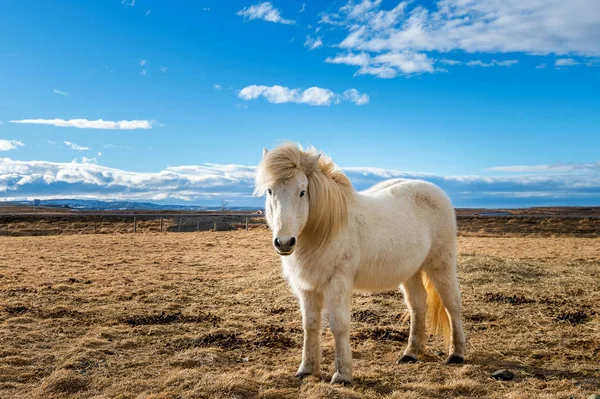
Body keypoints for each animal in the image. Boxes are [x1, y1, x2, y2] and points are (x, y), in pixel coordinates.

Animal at [255, 143, 466, 384]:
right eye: (270, 191)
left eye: (302, 191)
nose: (284, 242)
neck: (326, 228)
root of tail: (436, 192)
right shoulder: (306, 287)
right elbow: (310, 325)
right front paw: (306, 369)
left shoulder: (338, 282)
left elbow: (338, 325)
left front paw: (343, 374)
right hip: (411, 271)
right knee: (417, 305)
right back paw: (411, 354)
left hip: (441, 264)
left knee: (452, 304)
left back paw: (456, 354)